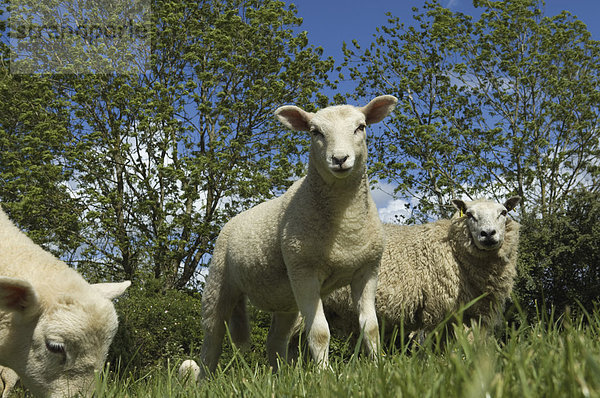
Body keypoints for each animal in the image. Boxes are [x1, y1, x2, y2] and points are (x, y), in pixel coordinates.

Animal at [183, 95, 398, 380]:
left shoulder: (367, 270)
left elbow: (371, 327)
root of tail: (232, 221)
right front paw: (324, 375)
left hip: (285, 299)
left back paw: (279, 377)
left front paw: (378, 368)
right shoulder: (303, 270)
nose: (340, 159)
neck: (346, 227)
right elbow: (319, 332)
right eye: (315, 132)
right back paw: (205, 379)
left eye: (360, 127)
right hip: (219, 281)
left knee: (275, 340)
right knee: (212, 337)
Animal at [324, 196, 520, 338]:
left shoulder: (473, 313)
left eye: (503, 212)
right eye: (469, 214)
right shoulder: (441, 309)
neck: (452, 248)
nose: (488, 234)